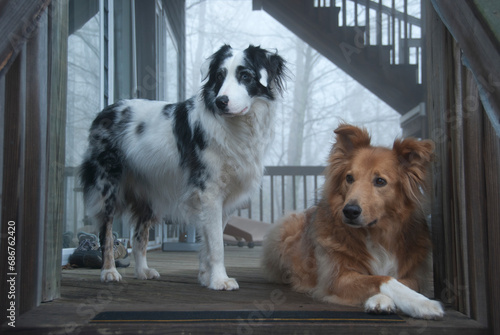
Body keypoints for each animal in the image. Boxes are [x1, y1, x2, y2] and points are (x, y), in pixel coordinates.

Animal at [80, 45, 288, 292]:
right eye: (219, 76)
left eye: (245, 76)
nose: (221, 101)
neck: (238, 126)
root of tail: (106, 110)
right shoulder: (209, 191)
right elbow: (217, 244)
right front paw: (220, 280)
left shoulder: (221, 199)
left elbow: (210, 241)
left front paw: (206, 277)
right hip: (107, 186)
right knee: (106, 232)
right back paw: (109, 271)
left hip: (150, 195)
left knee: (139, 235)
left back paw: (142, 271)